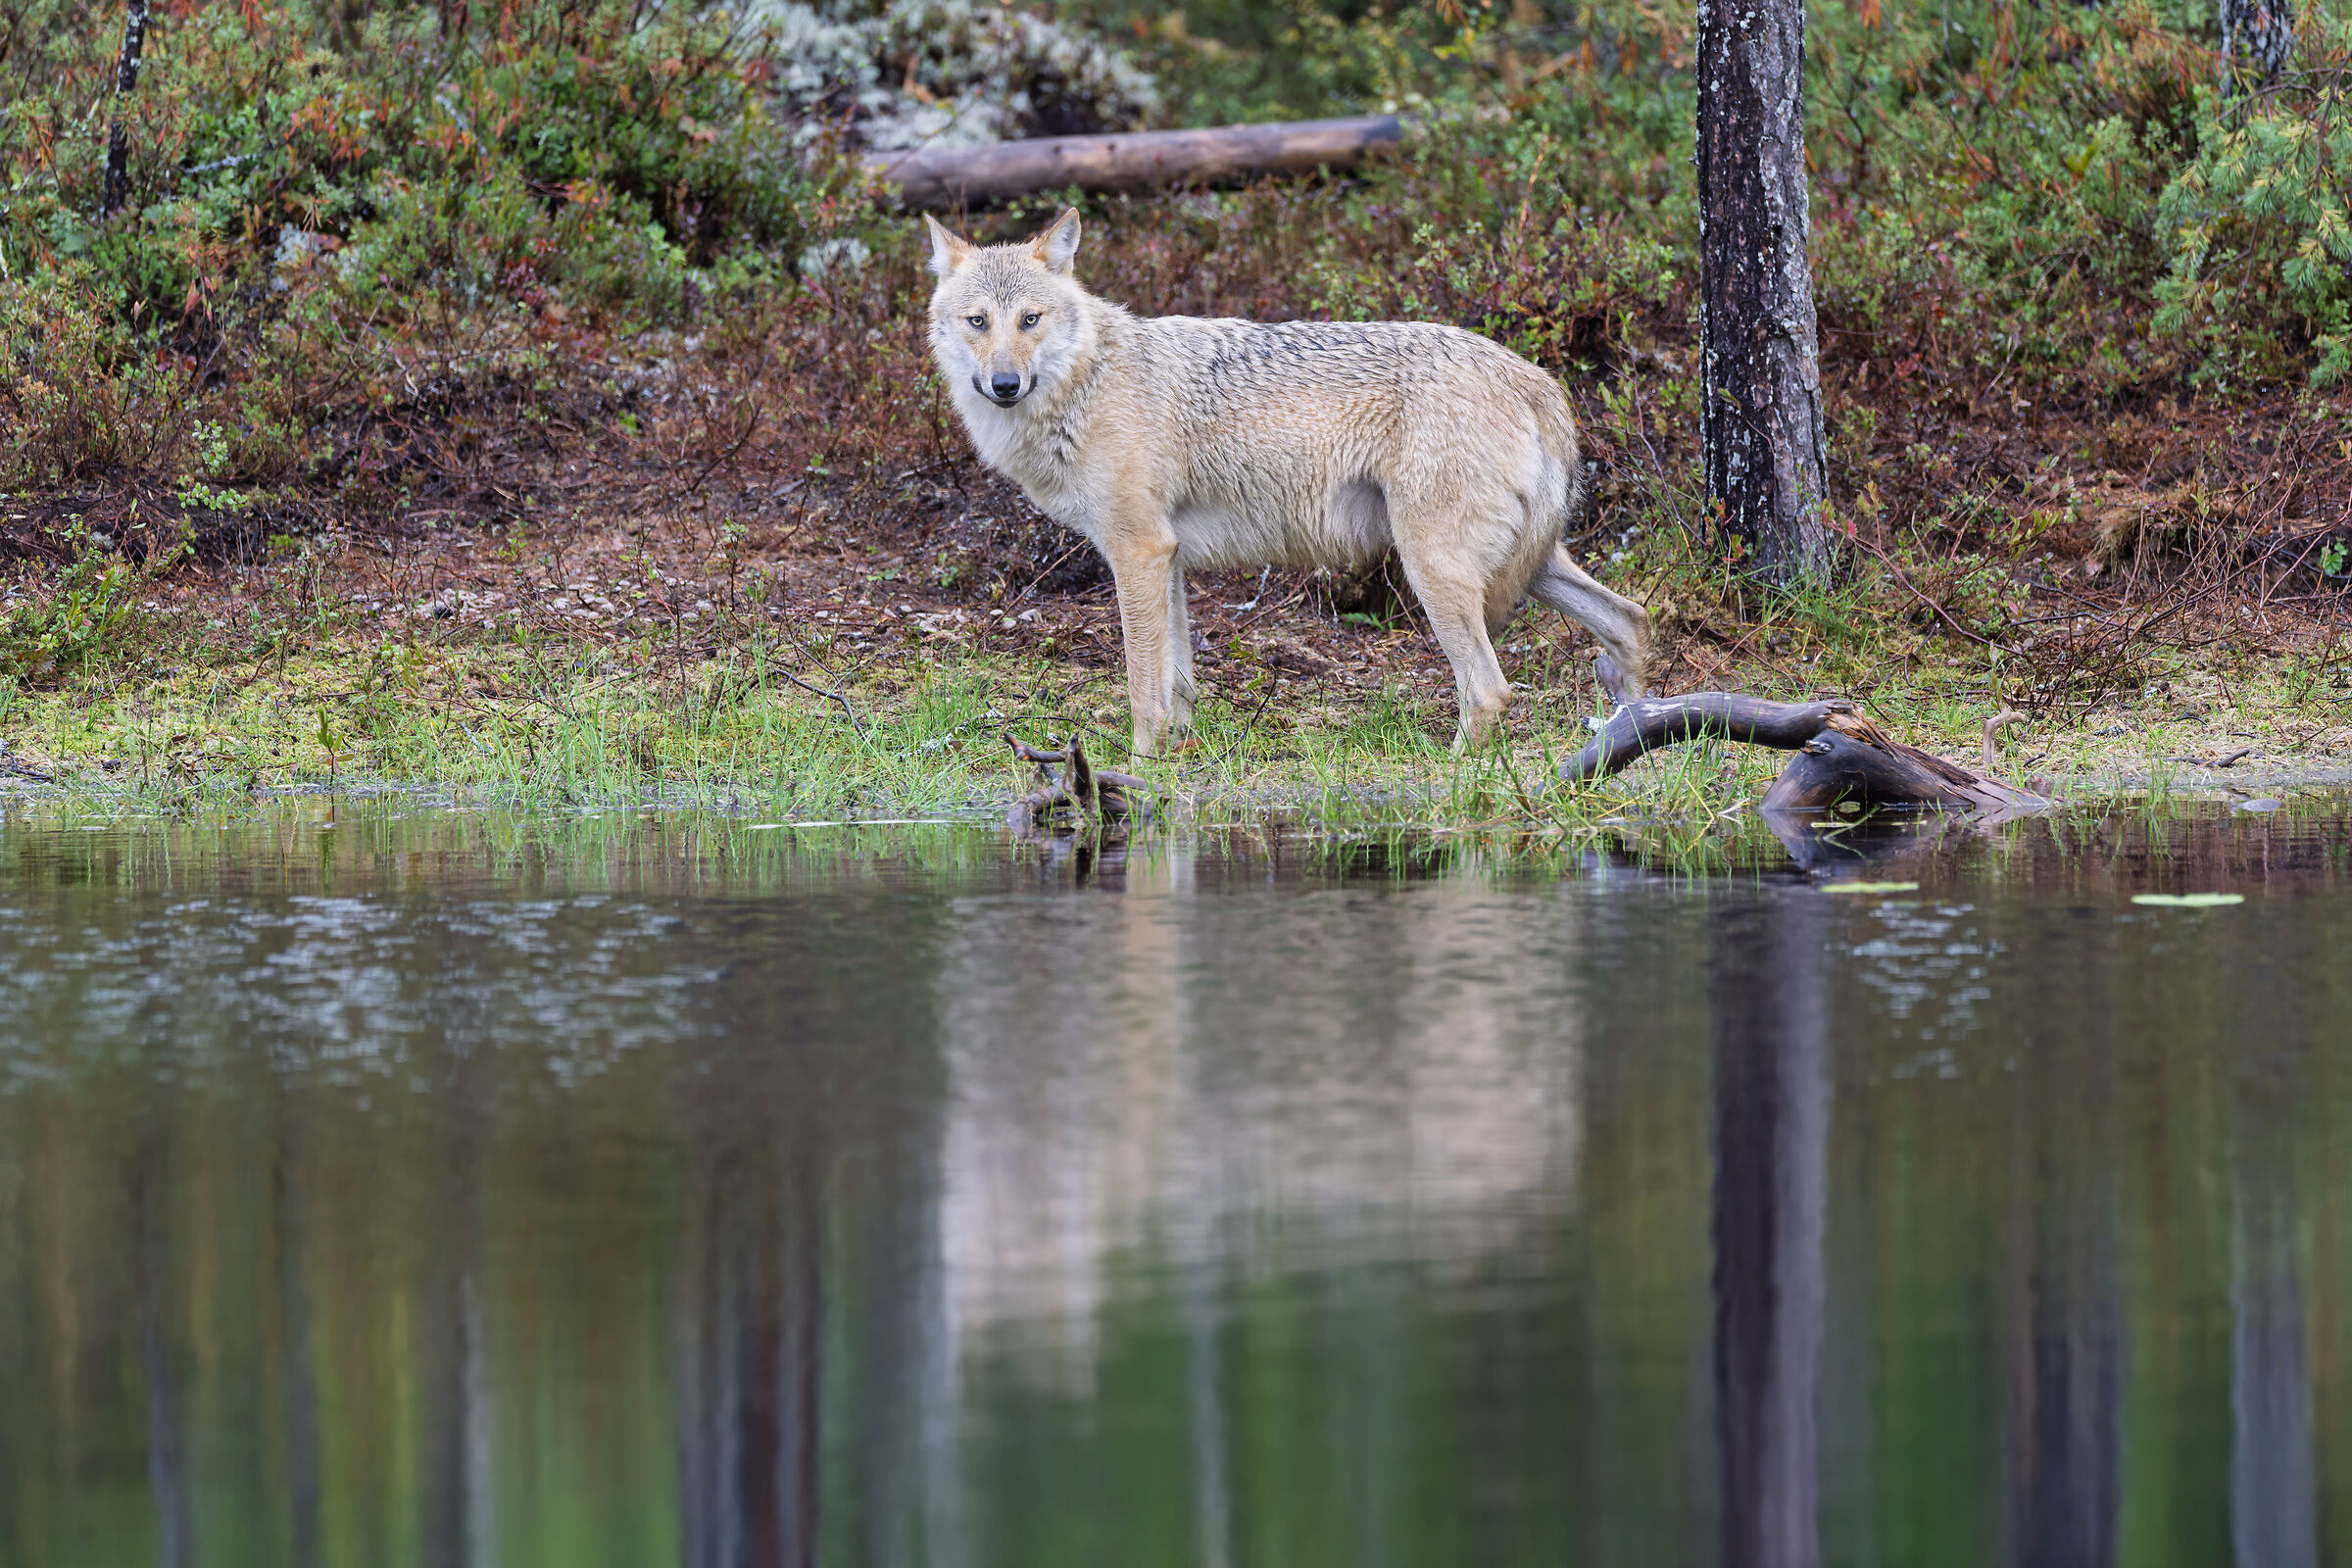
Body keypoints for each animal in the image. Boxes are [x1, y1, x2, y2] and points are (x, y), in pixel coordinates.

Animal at [924, 207, 1652, 759]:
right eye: (978, 321)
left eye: (1030, 320)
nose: (1004, 384)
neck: (1086, 383)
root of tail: (1534, 379)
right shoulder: (1168, 558)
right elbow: (1179, 683)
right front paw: (1179, 755)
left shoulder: (1138, 552)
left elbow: (1142, 688)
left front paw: (1138, 765)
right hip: (1529, 564)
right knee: (1631, 620)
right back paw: (1637, 735)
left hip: (1434, 569)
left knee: (1490, 689)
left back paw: (1454, 775)